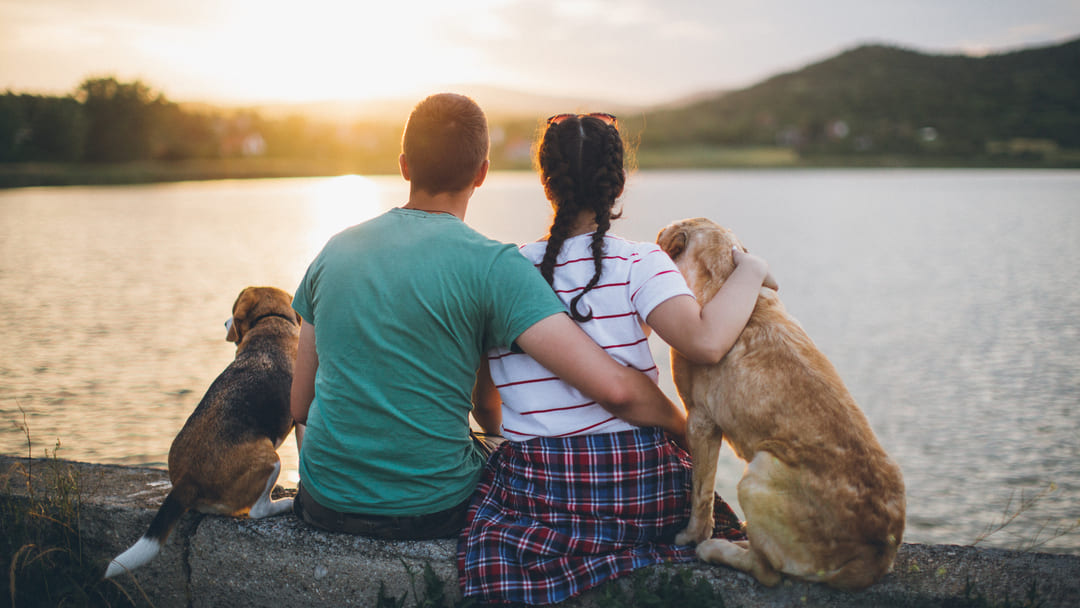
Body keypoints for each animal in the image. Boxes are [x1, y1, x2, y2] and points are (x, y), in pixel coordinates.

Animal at [105, 287, 300, 578]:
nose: (224, 323)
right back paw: (285, 503)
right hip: (269, 457)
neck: (271, 320)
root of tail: (186, 481)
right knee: (257, 510)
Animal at [656, 218, 902, 591]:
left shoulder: (700, 420)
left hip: (756, 474)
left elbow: (701, 492)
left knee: (767, 571)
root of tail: (876, 554)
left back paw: (717, 548)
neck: (724, 277)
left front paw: (691, 536)